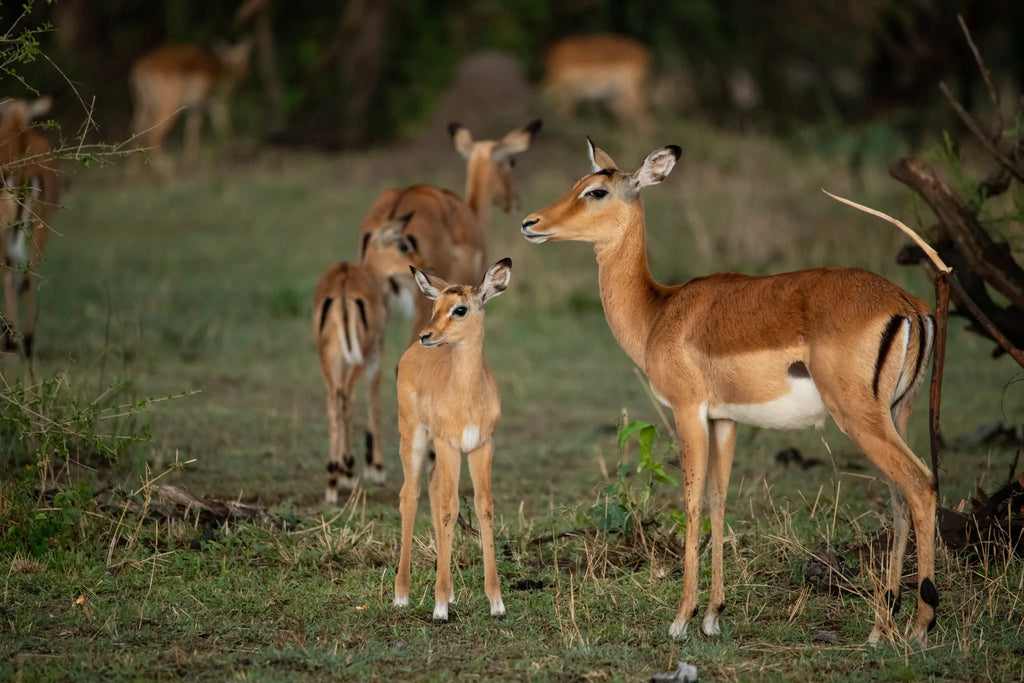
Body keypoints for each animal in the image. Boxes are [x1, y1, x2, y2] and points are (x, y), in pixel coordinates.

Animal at [129, 41, 252, 176]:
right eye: (242, 58)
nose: (241, 74)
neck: (224, 71)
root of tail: (139, 68)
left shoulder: (194, 109)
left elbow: (191, 131)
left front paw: (190, 165)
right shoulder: (217, 105)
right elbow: (222, 127)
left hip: (143, 106)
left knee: (136, 131)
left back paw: (133, 175)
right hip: (168, 105)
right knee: (152, 136)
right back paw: (169, 172)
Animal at [313, 215, 423, 503]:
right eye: (404, 244)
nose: (423, 265)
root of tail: (342, 282)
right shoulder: (376, 353)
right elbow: (373, 395)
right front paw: (377, 469)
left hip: (328, 357)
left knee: (334, 399)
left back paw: (332, 477)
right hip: (357, 357)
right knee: (348, 397)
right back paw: (344, 473)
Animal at [394, 258, 511, 625]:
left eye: (460, 308)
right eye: (435, 307)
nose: (427, 335)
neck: (468, 397)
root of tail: (410, 353)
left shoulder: (481, 446)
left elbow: (484, 507)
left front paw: (497, 603)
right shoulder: (448, 444)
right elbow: (449, 508)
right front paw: (439, 609)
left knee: (432, 489)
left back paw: (451, 592)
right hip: (414, 436)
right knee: (411, 494)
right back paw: (402, 595)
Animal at [521, 141, 938, 645]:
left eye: (596, 191)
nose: (531, 223)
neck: (659, 312)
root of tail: (908, 304)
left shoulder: (687, 411)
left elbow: (691, 501)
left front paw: (681, 619)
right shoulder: (725, 419)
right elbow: (718, 501)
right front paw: (713, 615)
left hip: (859, 417)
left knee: (921, 483)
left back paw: (920, 625)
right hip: (896, 413)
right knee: (900, 497)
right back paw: (881, 628)